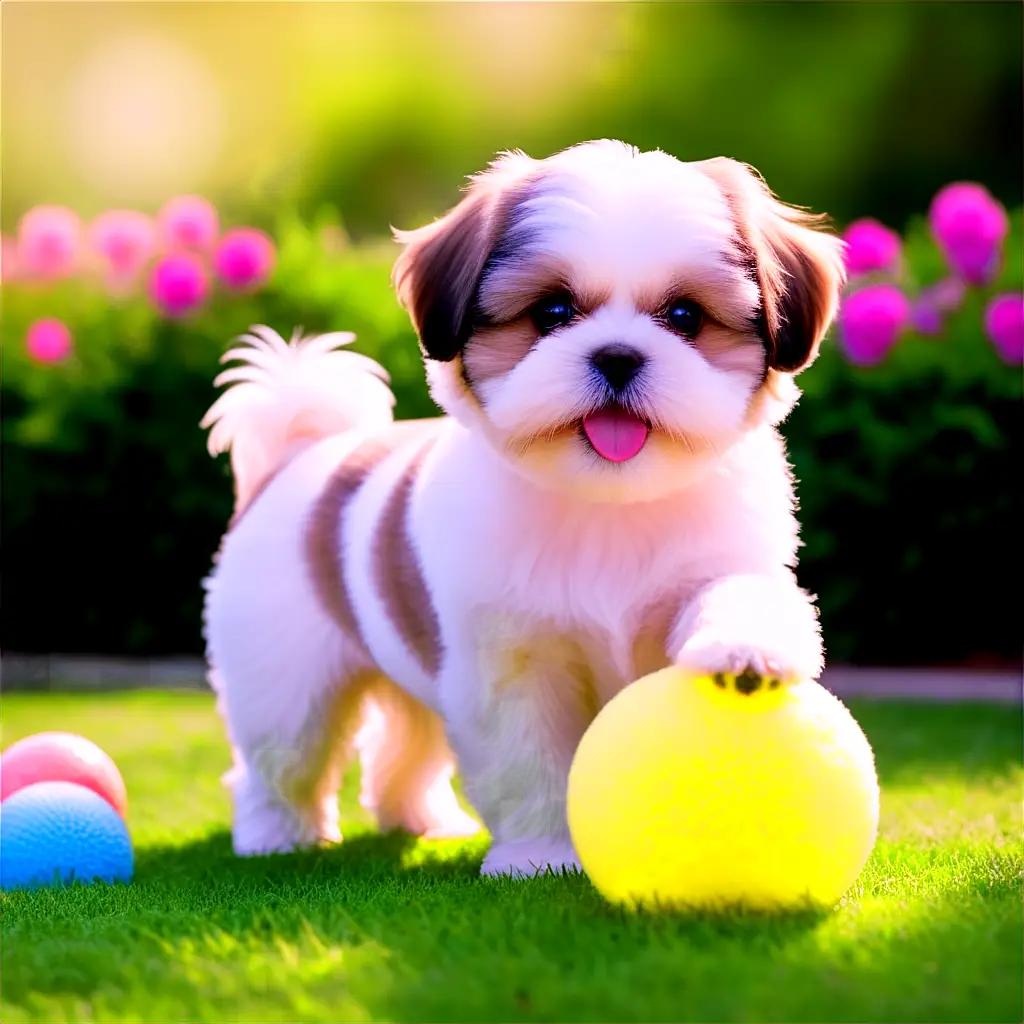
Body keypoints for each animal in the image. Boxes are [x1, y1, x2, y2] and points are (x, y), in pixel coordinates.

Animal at [199, 140, 839, 876]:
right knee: (282, 759)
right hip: (283, 677)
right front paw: (540, 856)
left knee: (406, 747)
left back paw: (421, 820)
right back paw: (274, 836)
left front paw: (744, 652)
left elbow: (736, 597)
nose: (618, 356)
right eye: (552, 313)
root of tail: (300, 452)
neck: (606, 502)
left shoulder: (721, 563)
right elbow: (529, 761)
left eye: (684, 317)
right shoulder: (511, 663)